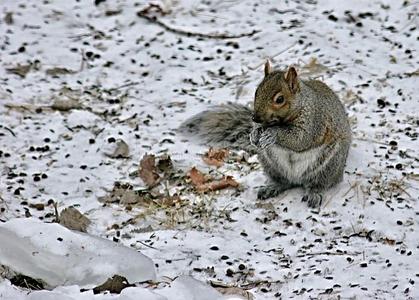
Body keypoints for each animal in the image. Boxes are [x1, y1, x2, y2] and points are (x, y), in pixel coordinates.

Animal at [180, 59, 352, 207]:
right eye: (256, 91)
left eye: (280, 99)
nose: (255, 117)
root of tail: (296, 178)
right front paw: (254, 134)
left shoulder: (314, 121)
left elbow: (300, 139)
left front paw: (272, 134)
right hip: (271, 165)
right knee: (284, 182)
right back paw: (272, 187)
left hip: (327, 166)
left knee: (318, 183)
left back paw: (314, 193)